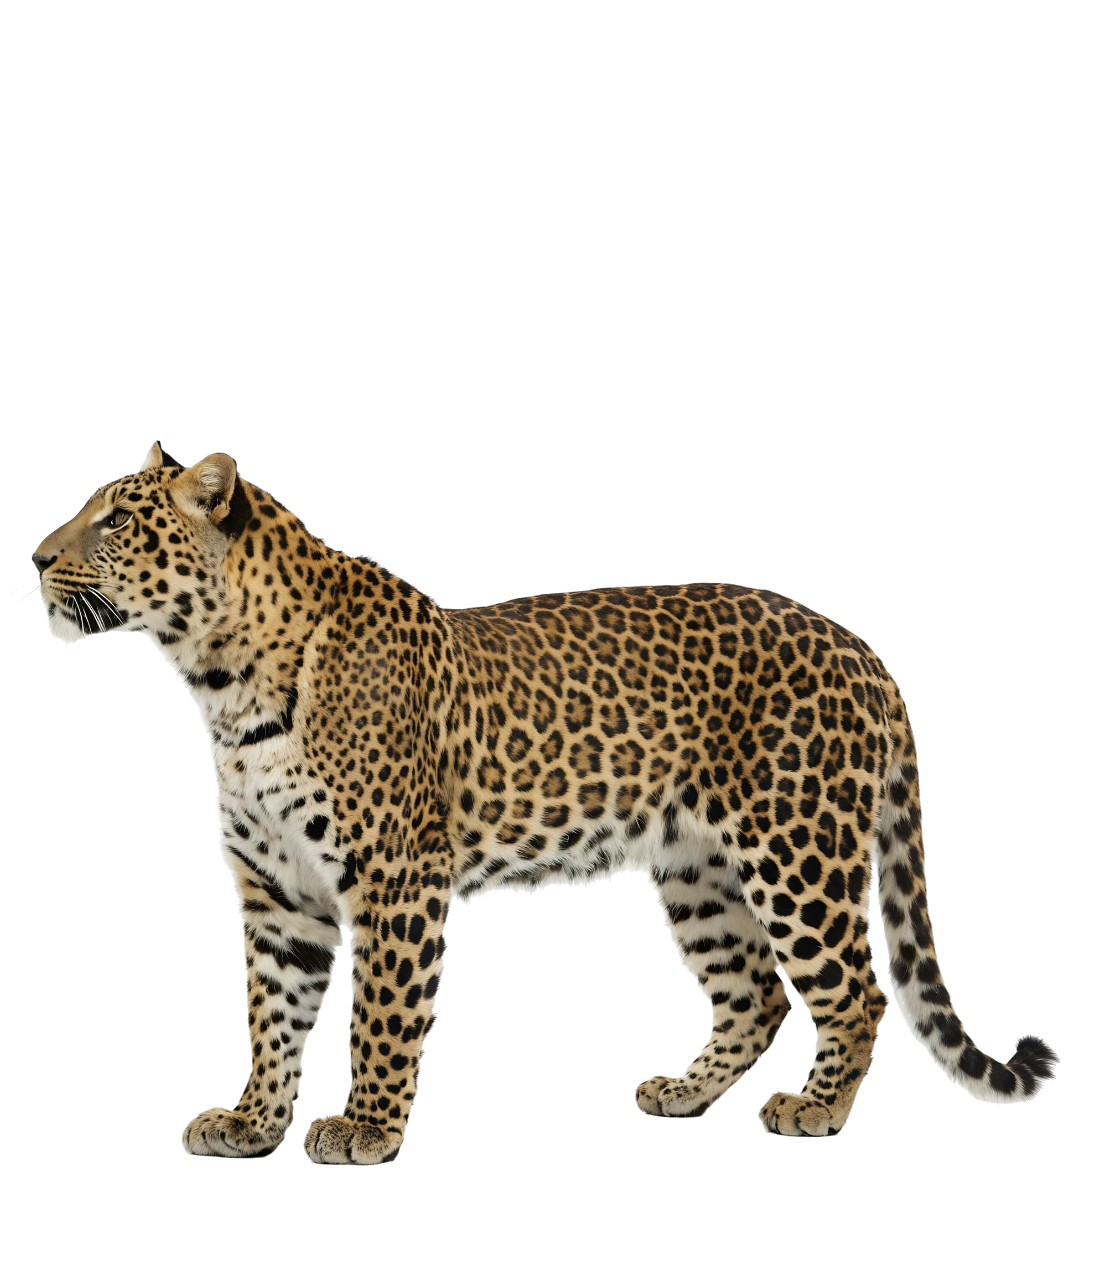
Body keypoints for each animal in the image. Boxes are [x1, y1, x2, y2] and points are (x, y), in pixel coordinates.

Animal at [29, 441, 1060, 1158]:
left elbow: (381, 1016)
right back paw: (685, 1092)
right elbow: (271, 1015)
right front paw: (251, 1122)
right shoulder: (276, 892)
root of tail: (862, 648)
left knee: (858, 991)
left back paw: (817, 1108)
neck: (219, 683)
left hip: (796, 851)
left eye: (114, 521)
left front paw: (365, 1128)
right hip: (699, 875)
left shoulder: (397, 880)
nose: (36, 558)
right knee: (756, 993)